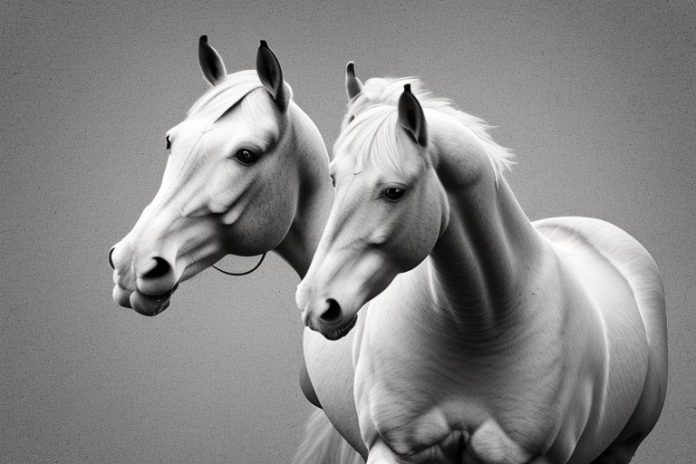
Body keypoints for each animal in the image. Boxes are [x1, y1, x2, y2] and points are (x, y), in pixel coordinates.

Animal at [296, 74, 668, 463]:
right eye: (334, 178)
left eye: (394, 191)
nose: (316, 302)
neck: (478, 324)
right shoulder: (393, 447)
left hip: (622, 448)